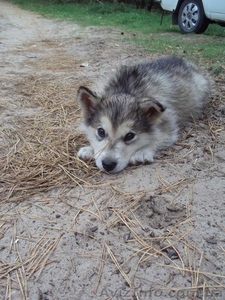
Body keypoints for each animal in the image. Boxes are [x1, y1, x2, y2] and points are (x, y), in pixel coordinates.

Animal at [76, 56, 210, 173]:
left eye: (130, 136)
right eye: (101, 132)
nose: (108, 164)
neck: (126, 90)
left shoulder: (169, 123)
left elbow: (161, 137)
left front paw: (142, 152)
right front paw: (89, 149)